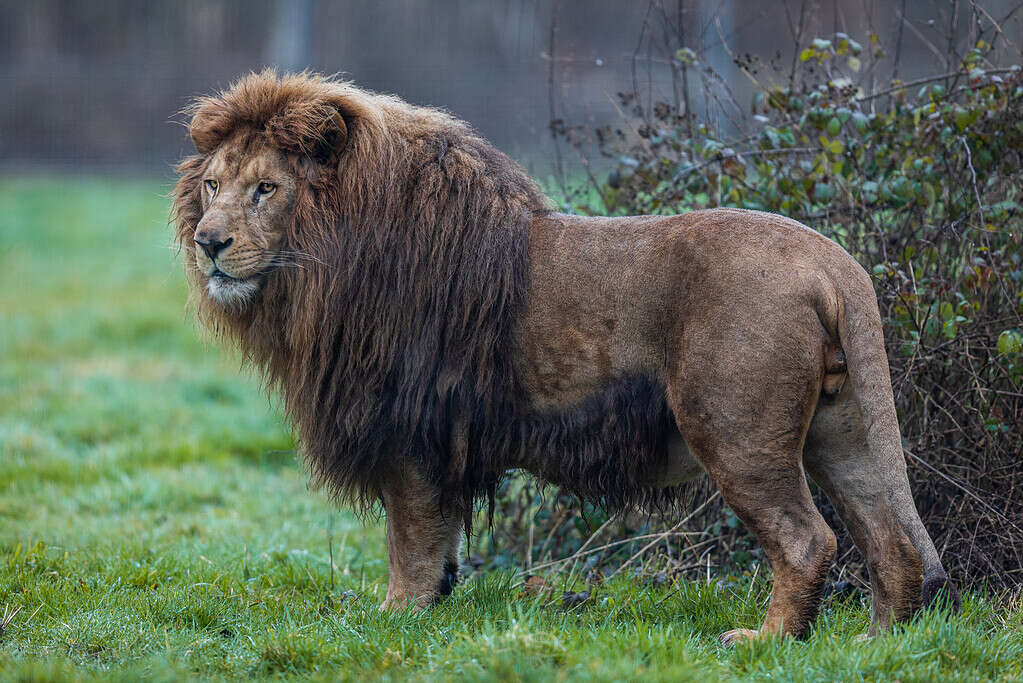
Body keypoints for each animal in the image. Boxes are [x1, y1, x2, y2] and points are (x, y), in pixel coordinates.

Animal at [172, 70, 957, 643]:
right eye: (212, 185)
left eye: (265, 188)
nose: (209, 242)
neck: (323, 265)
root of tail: (834, 261)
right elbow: (439, 536)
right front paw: (434, 601)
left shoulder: (411, 429)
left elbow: (410, 536)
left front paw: (396, 616)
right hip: (843, 427)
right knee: (891, 540)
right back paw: (875, 644)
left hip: (737, 432)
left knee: (808, 539)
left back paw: (766, 642)